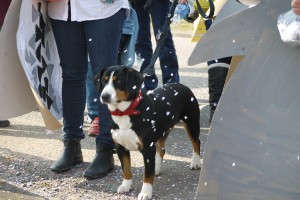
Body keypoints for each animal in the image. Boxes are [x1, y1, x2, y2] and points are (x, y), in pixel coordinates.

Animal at [95, 66, 200, 200]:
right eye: (103, 81)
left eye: (118, 81)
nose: (105, 96)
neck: (125, 112)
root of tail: (182, 86)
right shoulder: (120, 147)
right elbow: (126, 169)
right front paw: (126, 185)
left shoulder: (148, 148)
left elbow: (147, 175)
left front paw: (146, 192)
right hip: (163, 131)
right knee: (161, 150)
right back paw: (157, 168)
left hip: (192, 124)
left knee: (196, 143)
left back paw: (195, 162)